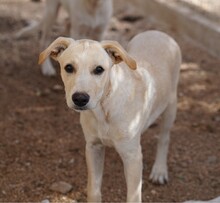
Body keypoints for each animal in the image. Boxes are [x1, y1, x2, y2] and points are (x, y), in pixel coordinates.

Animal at [38, 30, 181, 203]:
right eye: (69, 67)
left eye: (99, 69)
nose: (80, 99)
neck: (104, 109)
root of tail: (158, 32)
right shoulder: (93, 147)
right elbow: (93, 190)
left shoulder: (131, 156)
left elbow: (133, 197)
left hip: (170, 106)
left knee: (164, 138)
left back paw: (159, 170)